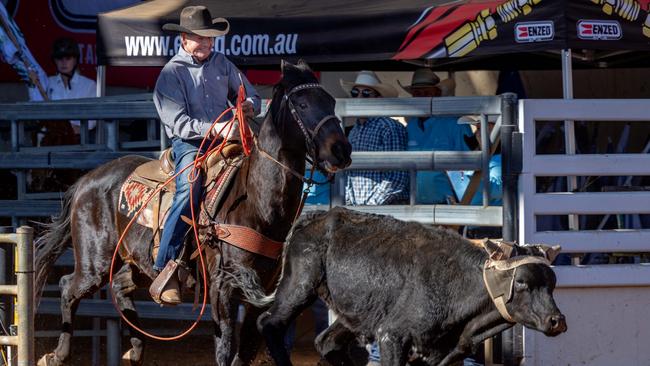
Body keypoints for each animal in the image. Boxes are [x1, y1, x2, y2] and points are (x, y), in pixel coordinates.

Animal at [34, 60, 350, 366]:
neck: (256, 202)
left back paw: (135, 350)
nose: (341, 150)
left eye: (331, 101)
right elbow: (224, 349)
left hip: (136, 263)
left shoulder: (262, 291)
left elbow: (246, 351)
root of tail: (88, 179)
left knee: (121, 288)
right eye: (302, 104)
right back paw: (57, 355)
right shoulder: (223, 288)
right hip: (95, 262)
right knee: (67, 286)